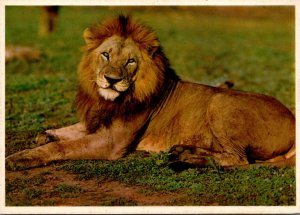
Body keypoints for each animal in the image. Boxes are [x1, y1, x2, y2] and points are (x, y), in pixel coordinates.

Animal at [5, 14, 296, 171]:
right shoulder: (95, 121)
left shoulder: (112, 143)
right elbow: (69, 130)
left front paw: (22, 157)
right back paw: (181, 153)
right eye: (105, 55)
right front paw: (45, 134)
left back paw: (183, 158)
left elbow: (64, 146)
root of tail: (293, 120)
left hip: (221, 101)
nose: (111, 80)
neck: (109, 101)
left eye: (130, 62)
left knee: (239, 160)